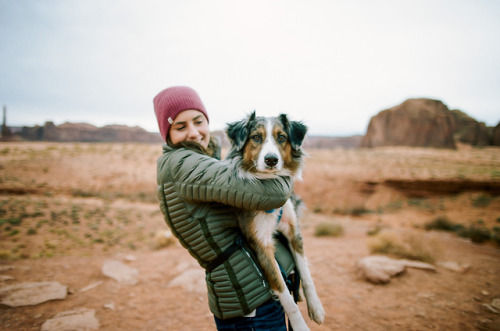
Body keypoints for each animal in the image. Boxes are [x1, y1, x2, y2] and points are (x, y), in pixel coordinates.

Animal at [226, 112, 324, 331]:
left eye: (282, 137)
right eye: (256, 137)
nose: (271, 160)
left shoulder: (293, 231)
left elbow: (305, 273)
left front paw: (315, 307)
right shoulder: (260, 244)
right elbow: (285, 295)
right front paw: (300, 326)